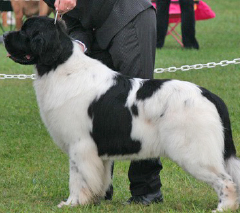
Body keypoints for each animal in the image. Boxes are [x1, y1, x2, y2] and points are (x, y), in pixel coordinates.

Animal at [3, 16, 240, 211]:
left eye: (24, 31)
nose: (3, 35)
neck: (59, 65)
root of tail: (210, 95)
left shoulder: (79, 145)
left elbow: (77, 177)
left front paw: (72, 203)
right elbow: (98, 177)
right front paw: (94, 200)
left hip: (195, 153)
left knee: (226, 181)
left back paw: (223, 208)